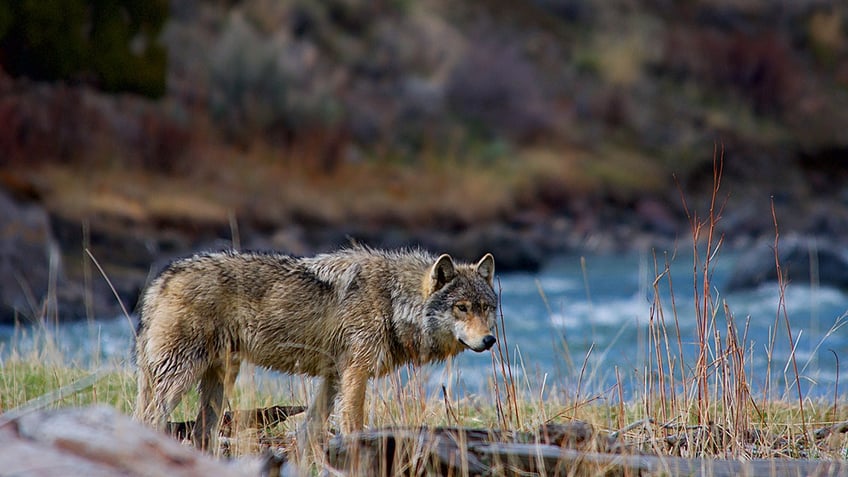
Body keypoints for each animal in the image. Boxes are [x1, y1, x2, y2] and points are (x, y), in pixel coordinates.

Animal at [132, 247, 496, 448]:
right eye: (462, 308)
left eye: (487, 308)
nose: (490, 340)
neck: (393, 301)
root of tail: (161, 281)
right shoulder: (355, 374)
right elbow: (353, 425)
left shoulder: (333, 377)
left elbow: (309, 431)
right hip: (180, 378)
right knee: (149, 421)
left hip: (217, 383)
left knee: (198, 434)